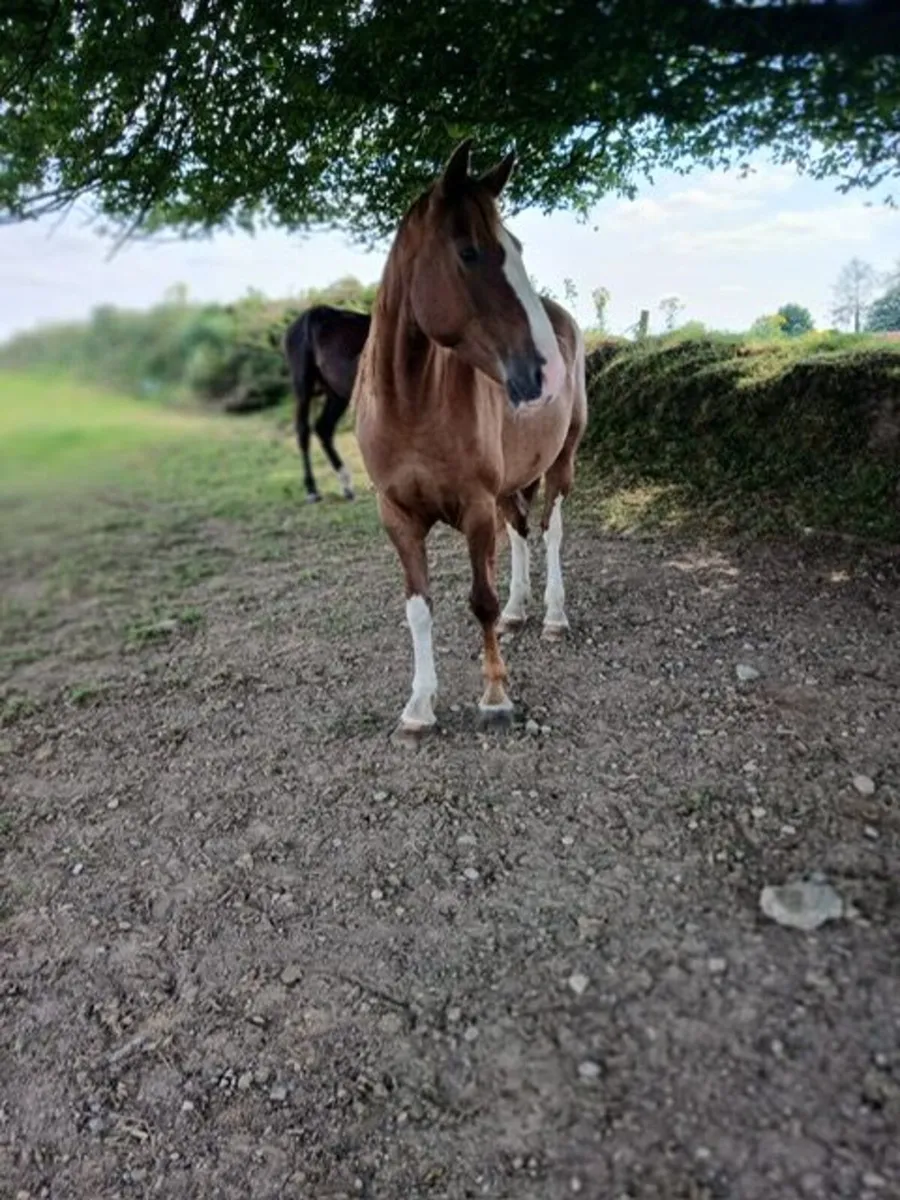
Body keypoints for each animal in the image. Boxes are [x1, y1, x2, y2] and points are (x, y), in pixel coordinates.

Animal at [282, 304, 371, 502]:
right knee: (304, 431)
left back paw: (346, 486)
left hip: (337, 395)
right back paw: (312, 490)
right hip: (303, 388)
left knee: (323, 427)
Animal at [353, 139, 587, 734]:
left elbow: (480, 598)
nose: (549, 371)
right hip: (511, 481)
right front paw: (418, 707)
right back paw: (519, 612)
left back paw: (553, 616)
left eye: (517, 247)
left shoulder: (476, 509)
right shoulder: (397, 515)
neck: (412, 405)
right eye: (469, 252)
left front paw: (496, 696)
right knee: (522, 531)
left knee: (549, 531)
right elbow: (419, 607)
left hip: (563, 459)